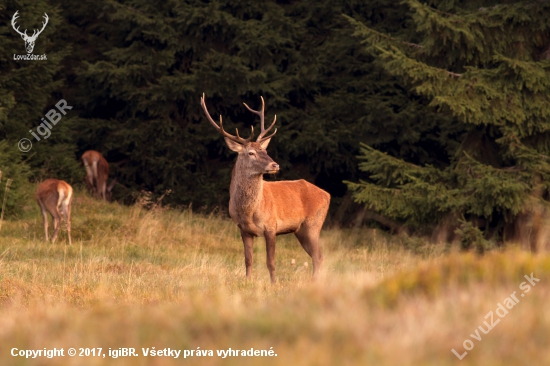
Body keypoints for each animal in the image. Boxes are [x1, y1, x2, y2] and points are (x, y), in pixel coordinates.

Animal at [203, 94, 332, 284]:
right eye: (251, 153)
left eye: (265, 150)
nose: (275, 165)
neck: (249, 211)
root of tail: (327, 194)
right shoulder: (243, 229)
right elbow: (248, 259)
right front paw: (247, 282)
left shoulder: (271, 225)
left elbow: (270, 261)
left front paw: (273, 284)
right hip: (301, 230)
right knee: (317, 256)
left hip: (314, 223)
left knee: (319, 256)